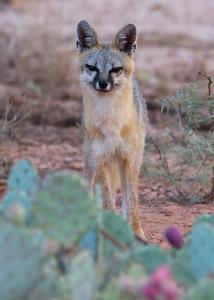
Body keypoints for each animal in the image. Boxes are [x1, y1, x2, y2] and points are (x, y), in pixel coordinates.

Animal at [76, 20, 148, 241]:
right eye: (92, 67)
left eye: (116, 69)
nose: (103, 83)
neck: (112, 123)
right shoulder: (100, 161)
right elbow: (107, 201)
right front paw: (112, 230)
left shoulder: (129, 160)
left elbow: (132, 201)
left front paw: (136, 233)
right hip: (91, 163)